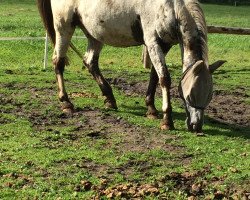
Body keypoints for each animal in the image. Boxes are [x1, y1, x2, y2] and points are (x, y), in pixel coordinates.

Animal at [36, 0, 225, 133]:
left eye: (210, 94)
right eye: (189, 94)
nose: (196, 125)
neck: (171, 5)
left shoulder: (163, 45)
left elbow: (154, 76)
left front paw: (151, 109)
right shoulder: (152, 42)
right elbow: (164, 78)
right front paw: (167, 120)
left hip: (94, 34)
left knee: (90, 62)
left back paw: (110, 98)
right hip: (64, 28)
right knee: (58, 62)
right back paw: (66, 102)